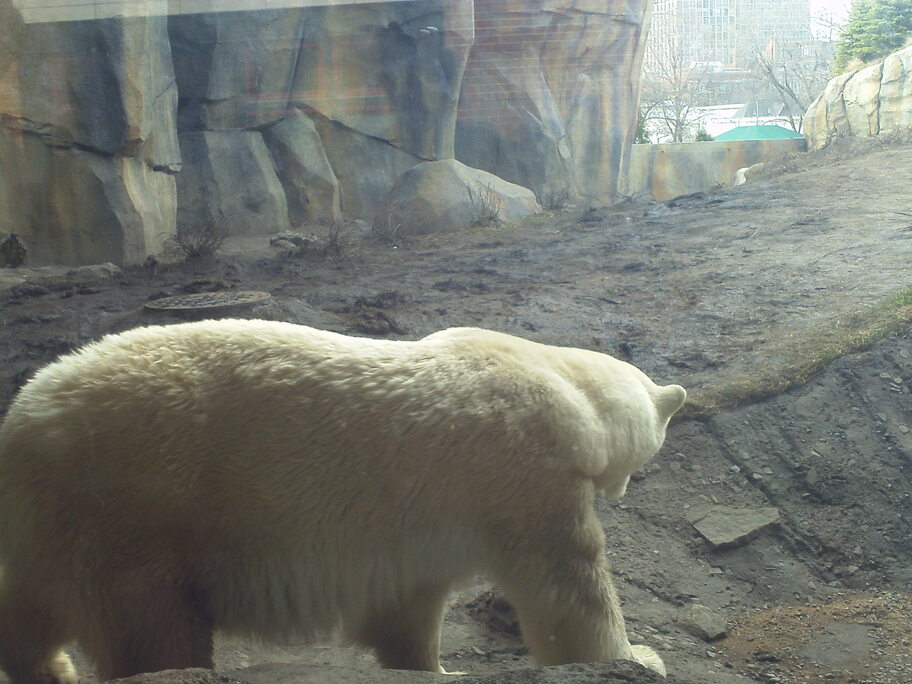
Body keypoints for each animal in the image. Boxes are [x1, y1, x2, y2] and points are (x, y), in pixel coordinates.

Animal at [0, 322, 684, 684]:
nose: (622, 489)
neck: (563, 385)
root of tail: (25, 419)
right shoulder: (523, 468)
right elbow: (567, 588)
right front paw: (637, 656)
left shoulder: (416, 518)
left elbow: (407, 606)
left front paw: (433, 668)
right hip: (132, 503)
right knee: (154, 627)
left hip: (55, 520)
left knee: (29, 611)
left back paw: (51, 669)